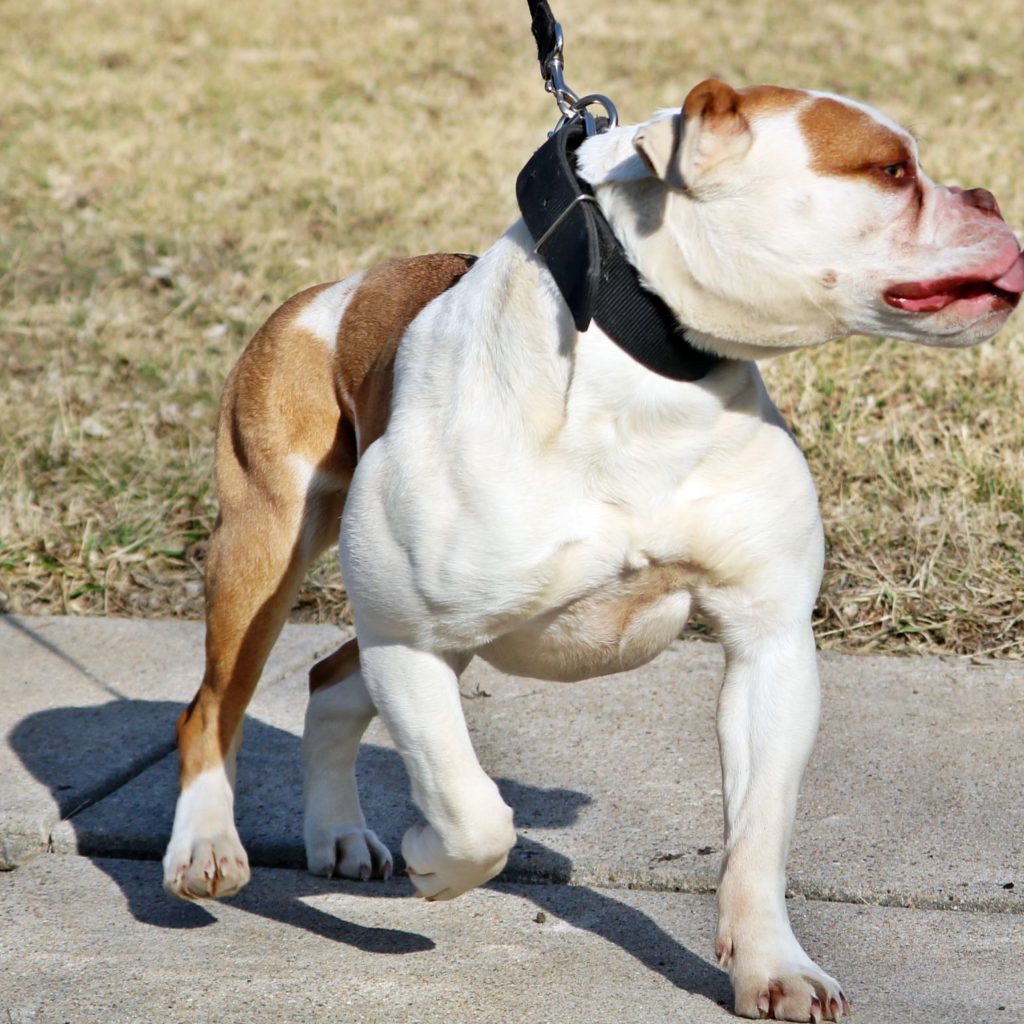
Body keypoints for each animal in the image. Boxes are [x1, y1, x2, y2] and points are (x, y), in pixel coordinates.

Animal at [163, 77, 1019, 1015]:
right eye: (892, 170)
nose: (990, 197)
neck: (649, 370)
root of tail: (330, 293)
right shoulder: (413, 640)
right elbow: (475, 813)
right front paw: (435, 861)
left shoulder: (769, 647)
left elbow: (758, 837)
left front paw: (774, 968)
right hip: (265, 556)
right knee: (214, 705)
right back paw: (205, 850)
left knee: (328, 683)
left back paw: (338, 836)